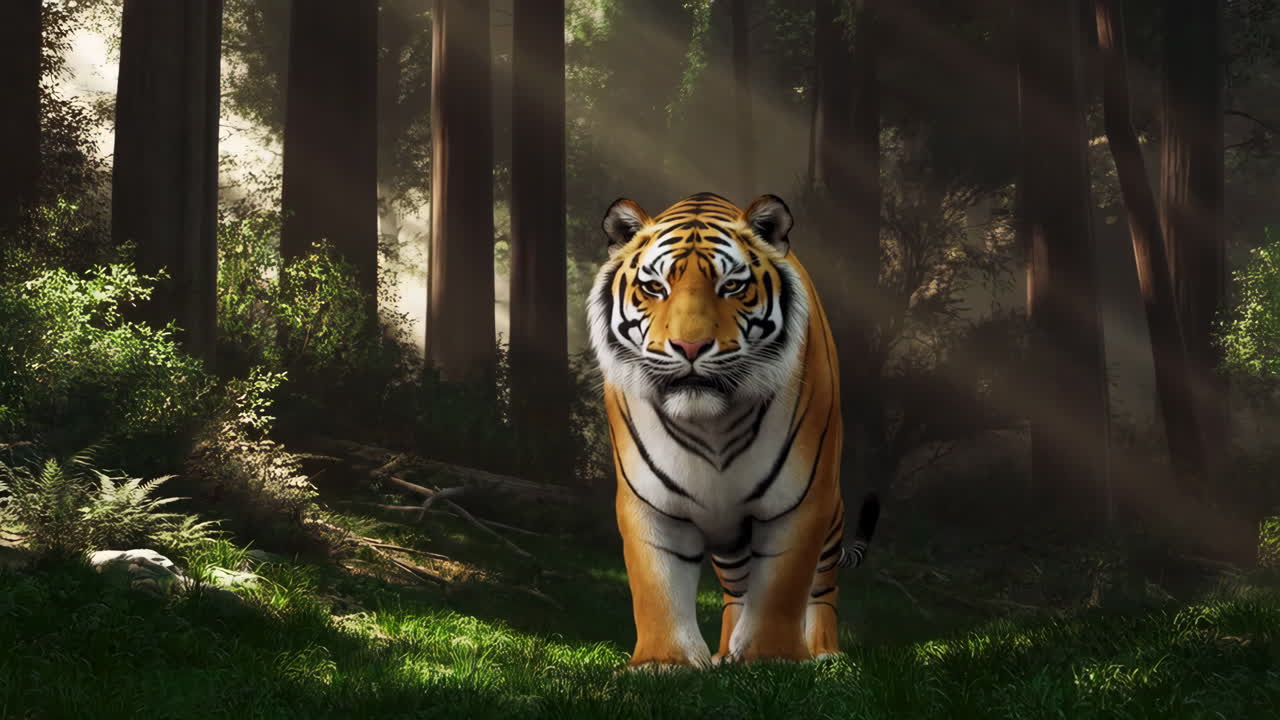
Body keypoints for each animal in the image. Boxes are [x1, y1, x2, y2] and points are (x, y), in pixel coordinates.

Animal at [587, 191, 880, 668]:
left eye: (732, 287)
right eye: (655, 288)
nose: (689, 346)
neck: (712, 424)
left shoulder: (799, 501)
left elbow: (781, 586)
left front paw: (770, 658)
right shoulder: (649, 502)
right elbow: (656, 585)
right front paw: (664, 663)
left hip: (829, 515)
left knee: (821, 588)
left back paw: (823, 653)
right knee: (737, 589)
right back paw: (726, 654)